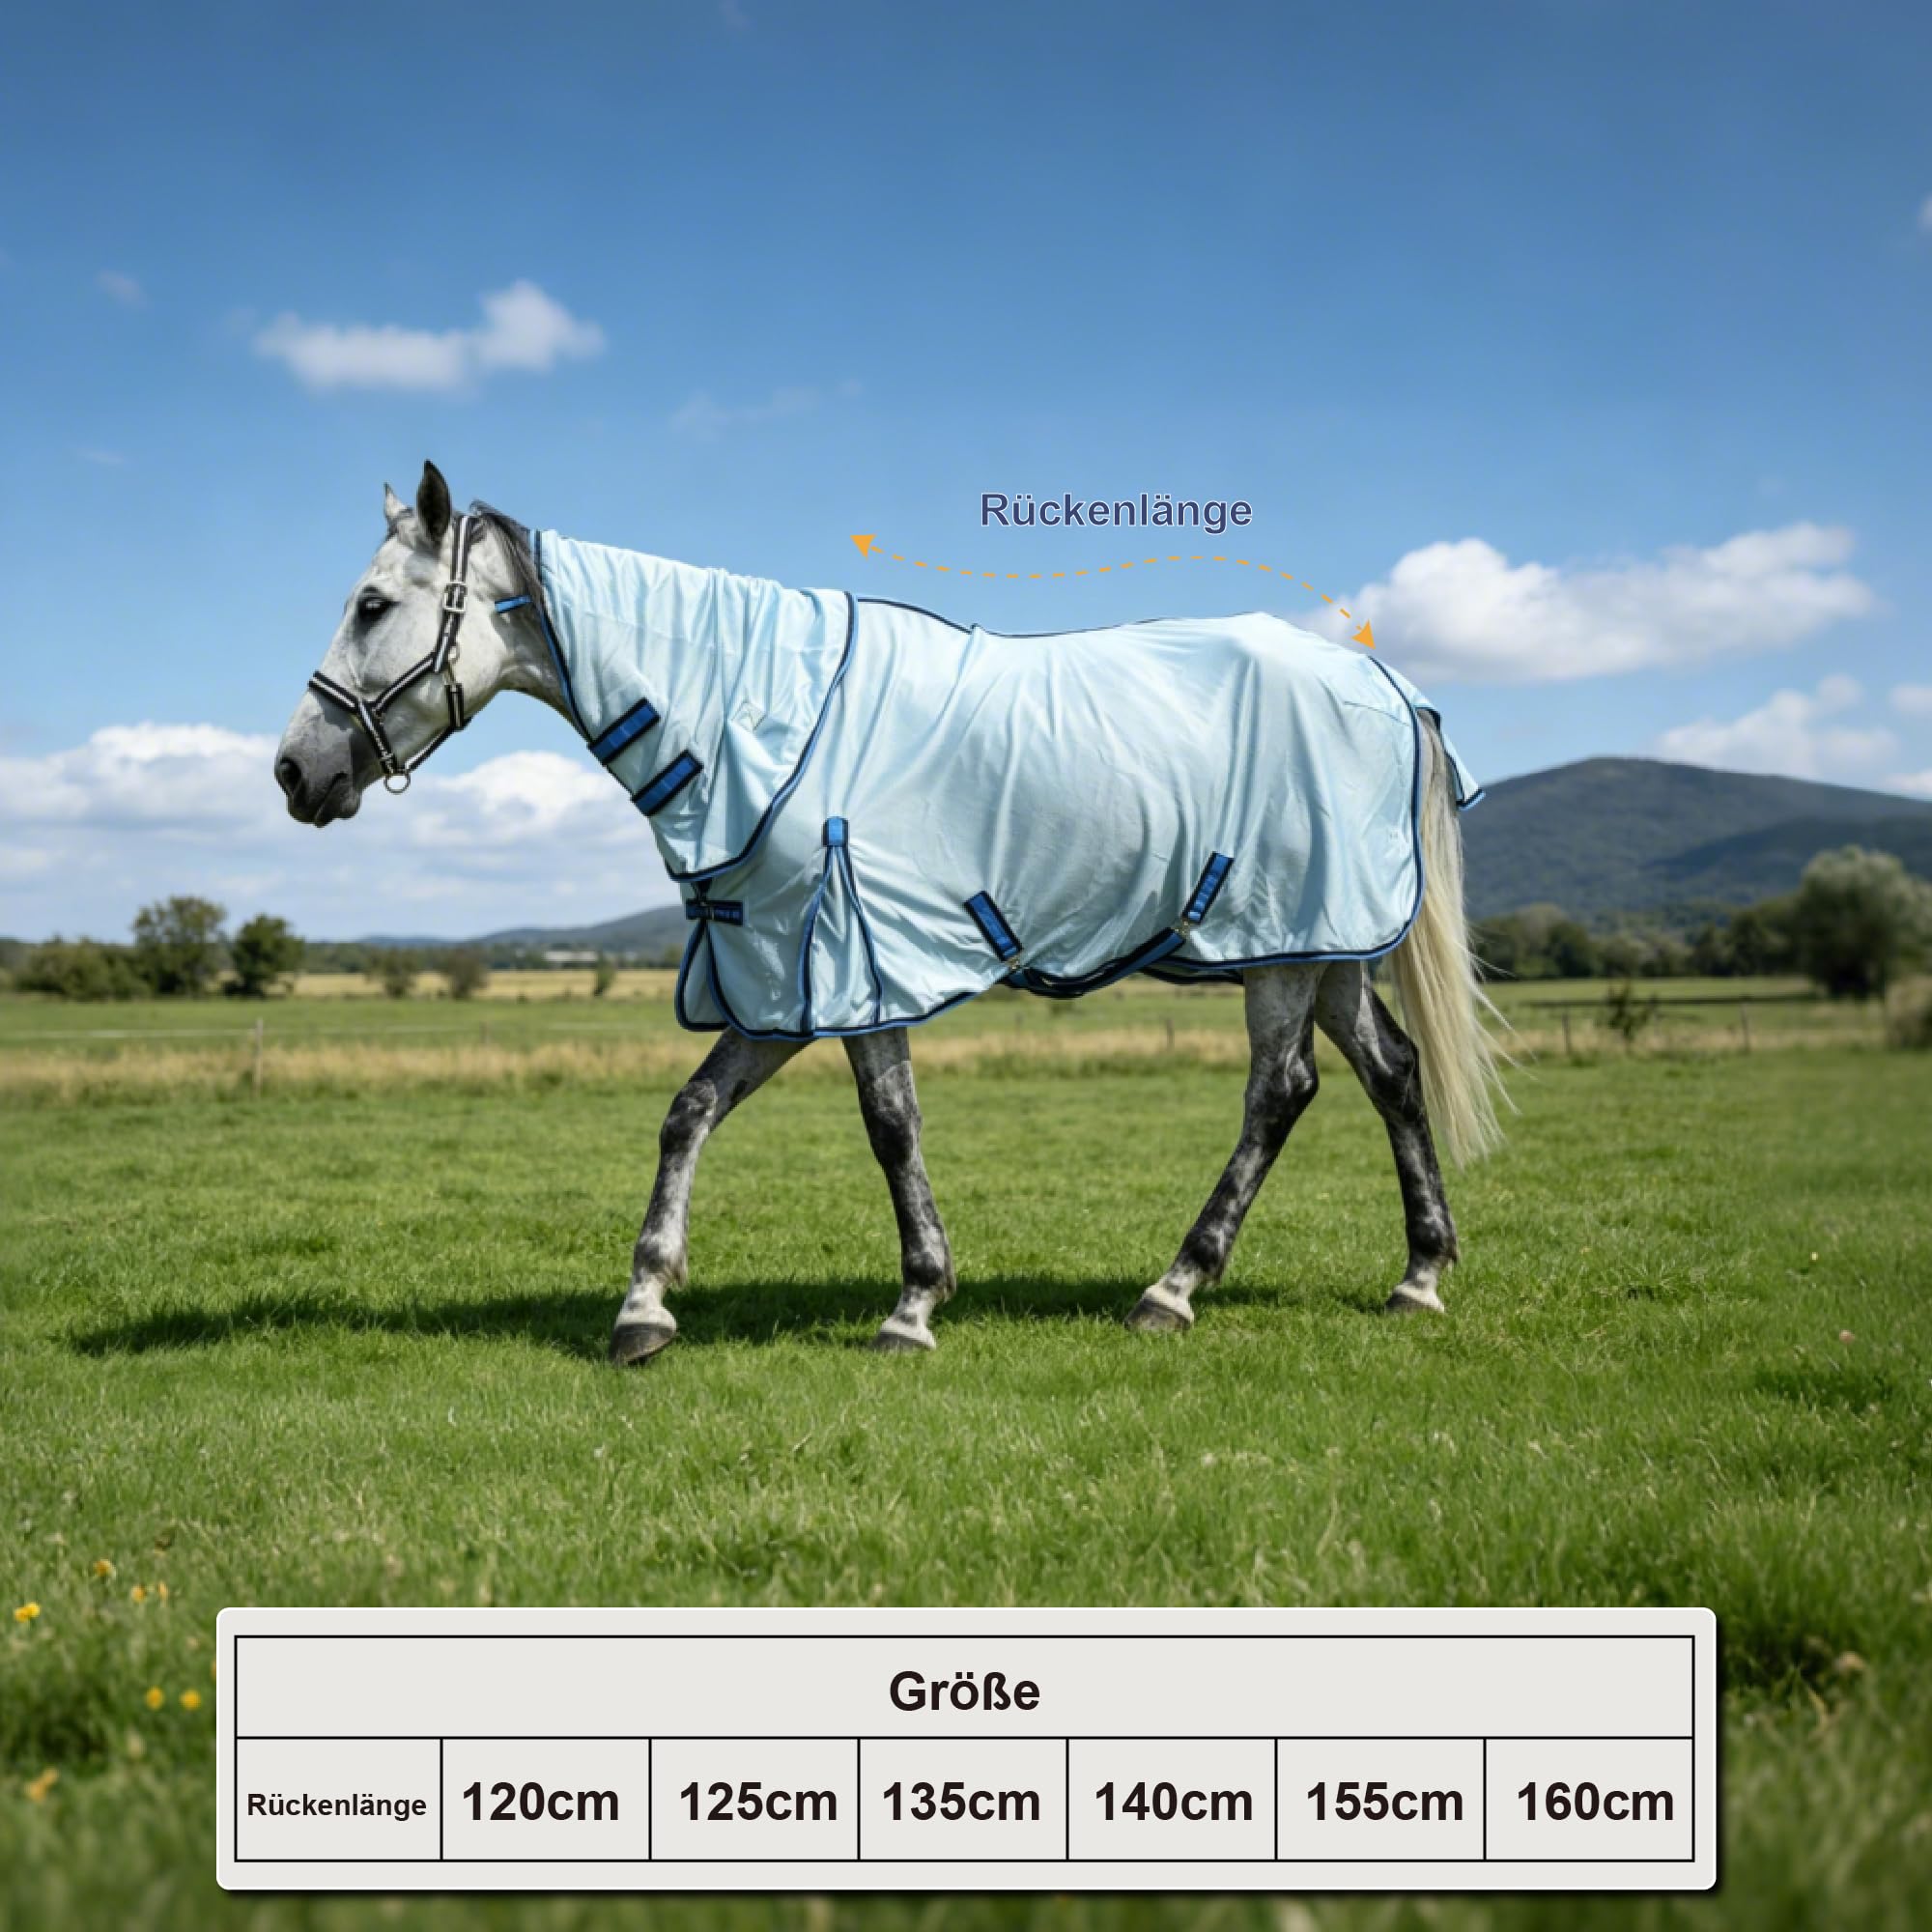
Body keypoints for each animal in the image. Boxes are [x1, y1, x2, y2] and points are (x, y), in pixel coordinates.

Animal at [276, 463, 1504, 1363]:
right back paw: (1418, 1276)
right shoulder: (775, 971)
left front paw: (912, 1304)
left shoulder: (852, 961)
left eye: (372, 605)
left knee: (1277, 1092)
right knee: (1391, 1072)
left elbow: (889, 1125)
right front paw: (644, 1303)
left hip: (1280, 945)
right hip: (1326, 940)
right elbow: (688, 1112)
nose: (295, 771)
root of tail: (1387, 686)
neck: (755, 712)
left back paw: (1174, 1285)